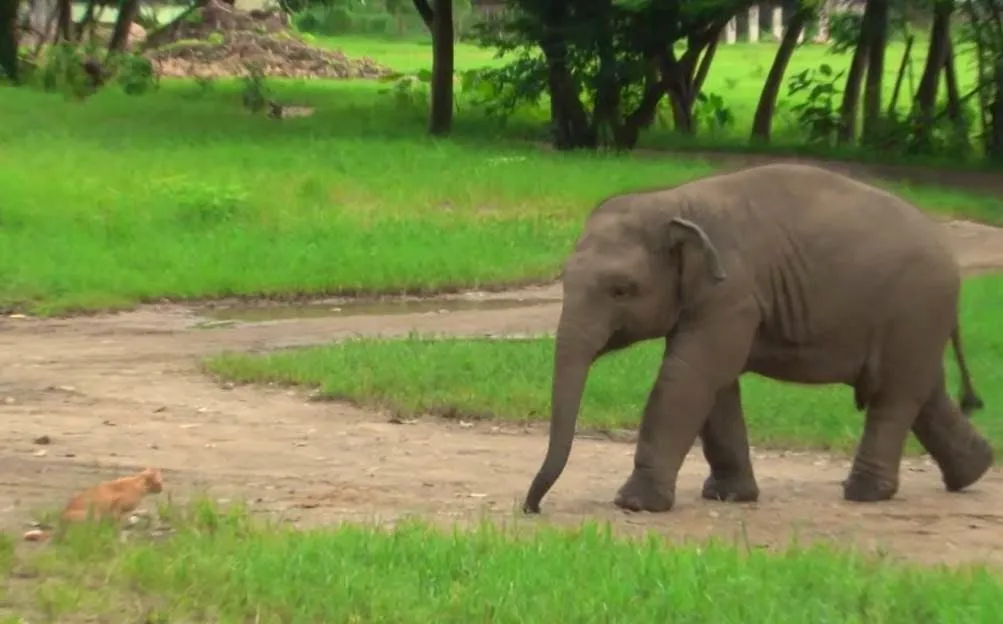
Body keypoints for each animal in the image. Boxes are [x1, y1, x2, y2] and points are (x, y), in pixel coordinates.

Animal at [23, 469, 162, 541]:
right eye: (160, 482)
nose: (162, 488)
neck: (137, 483)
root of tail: (60, 521)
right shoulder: (116, 508)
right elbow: (116, 524)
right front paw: (116, 535)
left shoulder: (124, 511)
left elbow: (144, 513)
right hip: (93, 515)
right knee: (83, 532)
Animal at [525, 162, 994, 517]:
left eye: (621, 290)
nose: (531, 508)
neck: (674, 202)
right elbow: (715, 386)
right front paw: (730, 496)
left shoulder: (732, 292)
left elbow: (688, 376)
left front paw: (634, 505)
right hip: (916, 319)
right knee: (924, 391)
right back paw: (974, 472)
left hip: (915, 307)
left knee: (892, 394)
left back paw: (864, 494)